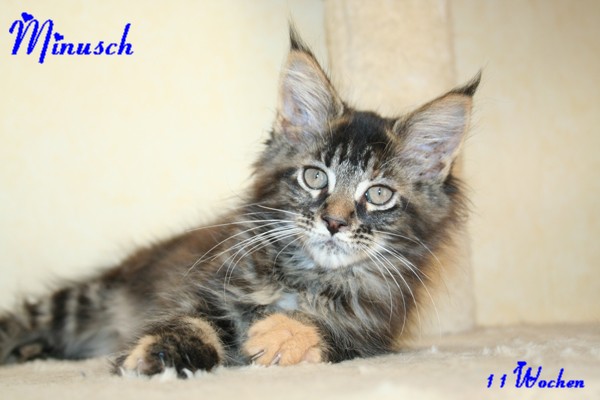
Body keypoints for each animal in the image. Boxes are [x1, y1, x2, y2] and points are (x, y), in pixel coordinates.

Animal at [0, 27, 479, 378]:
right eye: (314, 177)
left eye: (378, 195)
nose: (334, 222)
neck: (307, 277)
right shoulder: (207, 289)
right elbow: (190, 321)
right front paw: (159, 354)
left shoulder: (372, 331)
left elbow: (327, 329)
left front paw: (282, 335)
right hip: (82, 301)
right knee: (23, 320)